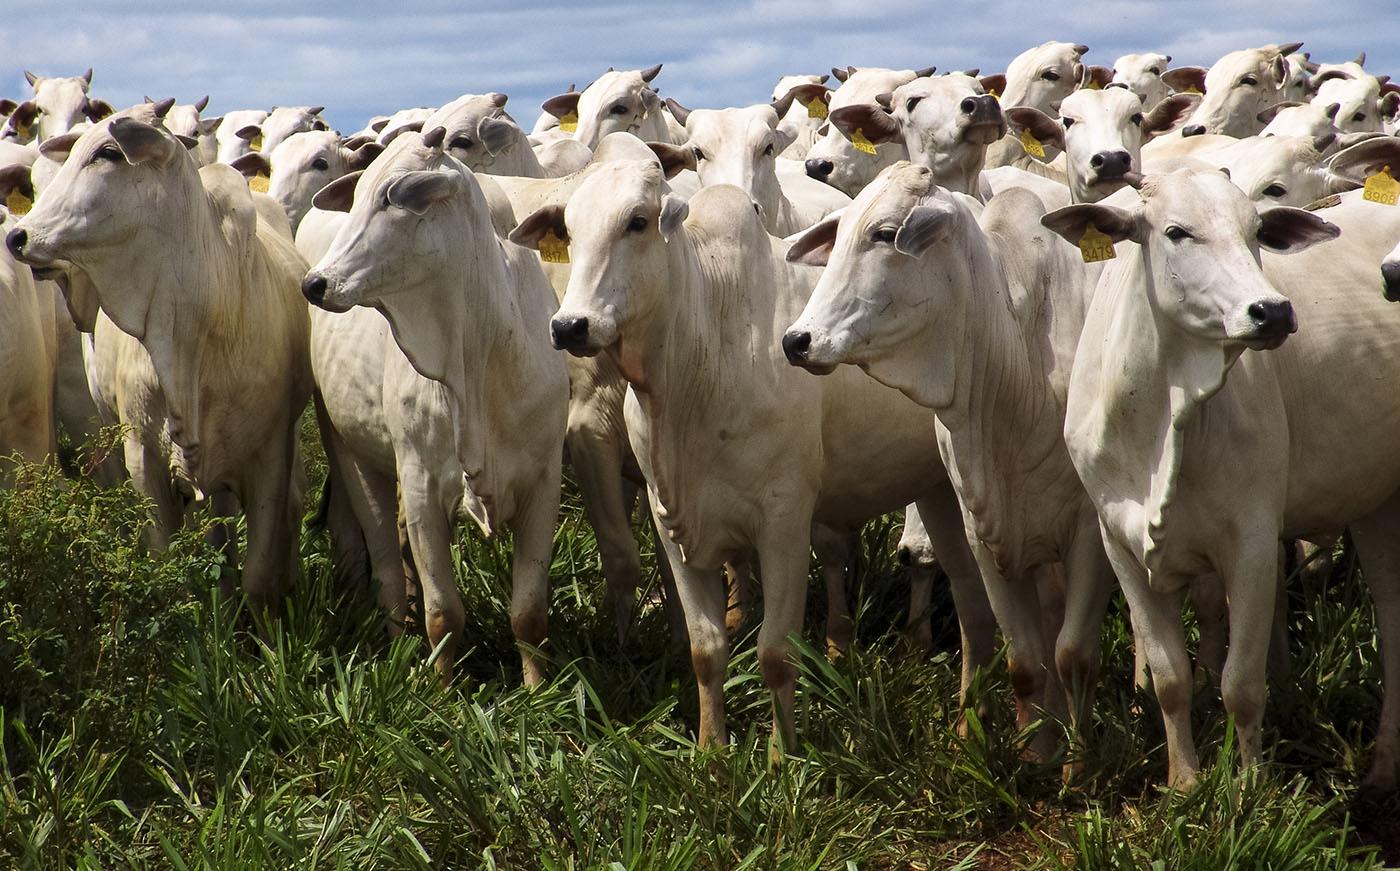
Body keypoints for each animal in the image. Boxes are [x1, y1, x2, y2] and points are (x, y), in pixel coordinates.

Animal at [6, 102, 313, 613]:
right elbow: (167, 560)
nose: (17, 236)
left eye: (108, 153)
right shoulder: (143, 457)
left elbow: (260, 574)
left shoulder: (271, 451)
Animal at [303, 129, 571, 688]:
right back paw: (397, 642)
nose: (316, 283)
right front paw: (442, 691)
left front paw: (538, 690)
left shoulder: (543, 482)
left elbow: (529, 614)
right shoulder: (422, 483)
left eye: (394, 196)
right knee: (385, 566)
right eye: (360, 194)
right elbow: (443, 612)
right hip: (350, 451)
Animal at [518, 162, 996, 750]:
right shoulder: (672, 525)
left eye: (637, 222)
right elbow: (705, 650)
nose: (569, 325)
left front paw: (781, 755)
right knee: (969, 603)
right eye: (569, 230)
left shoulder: (783, 523)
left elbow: (775, 654)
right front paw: (711, 749)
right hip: (935, 490)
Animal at [1047, 168, 1400, 789]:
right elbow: (1170, 678)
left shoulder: (1254, 543)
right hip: (1375, 500)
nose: (1273, 312)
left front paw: (1250, 788)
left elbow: (1241, 686)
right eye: (1176, 231)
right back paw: (1383, 767)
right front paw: (1184, 783)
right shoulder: (1120, 545)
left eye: (1255, 229)